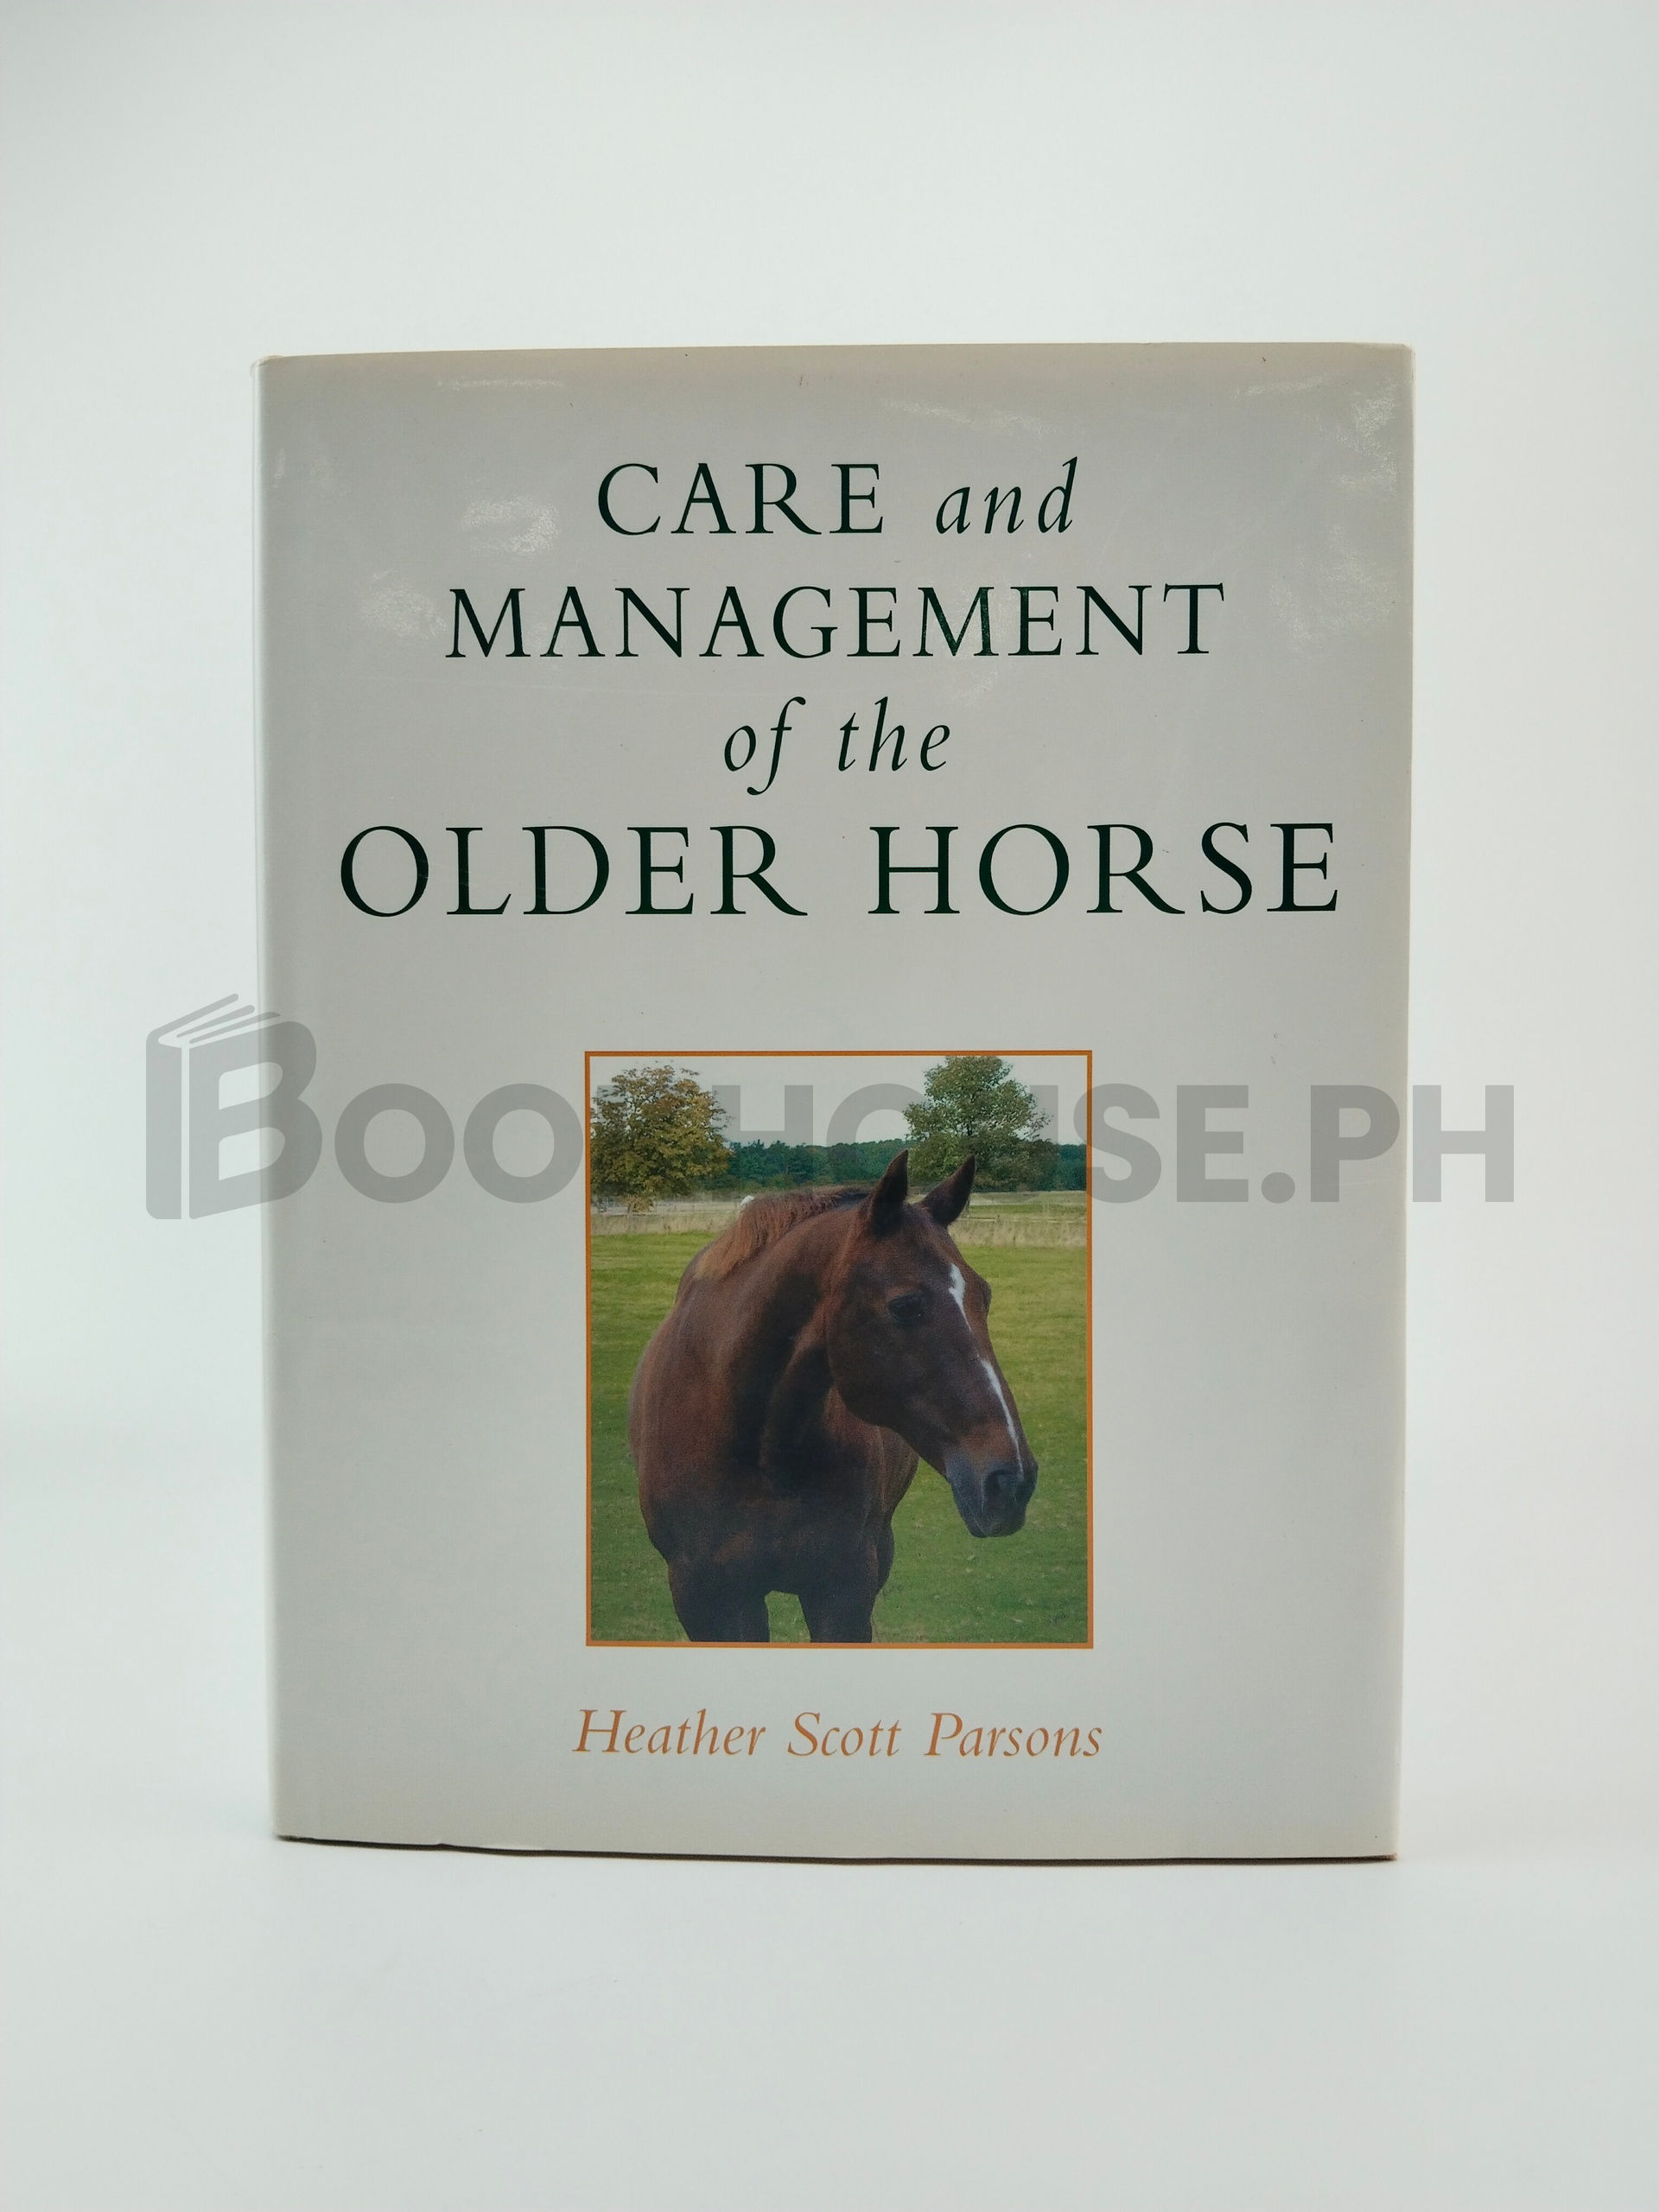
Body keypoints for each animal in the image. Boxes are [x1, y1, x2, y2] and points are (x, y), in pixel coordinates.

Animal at [628, 1148, 1038, 1643]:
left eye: (985, 1296)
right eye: (905, 1307)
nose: (1011, 1482)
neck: (759, 1452)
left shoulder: (842, 1593)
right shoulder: (710, 1602)